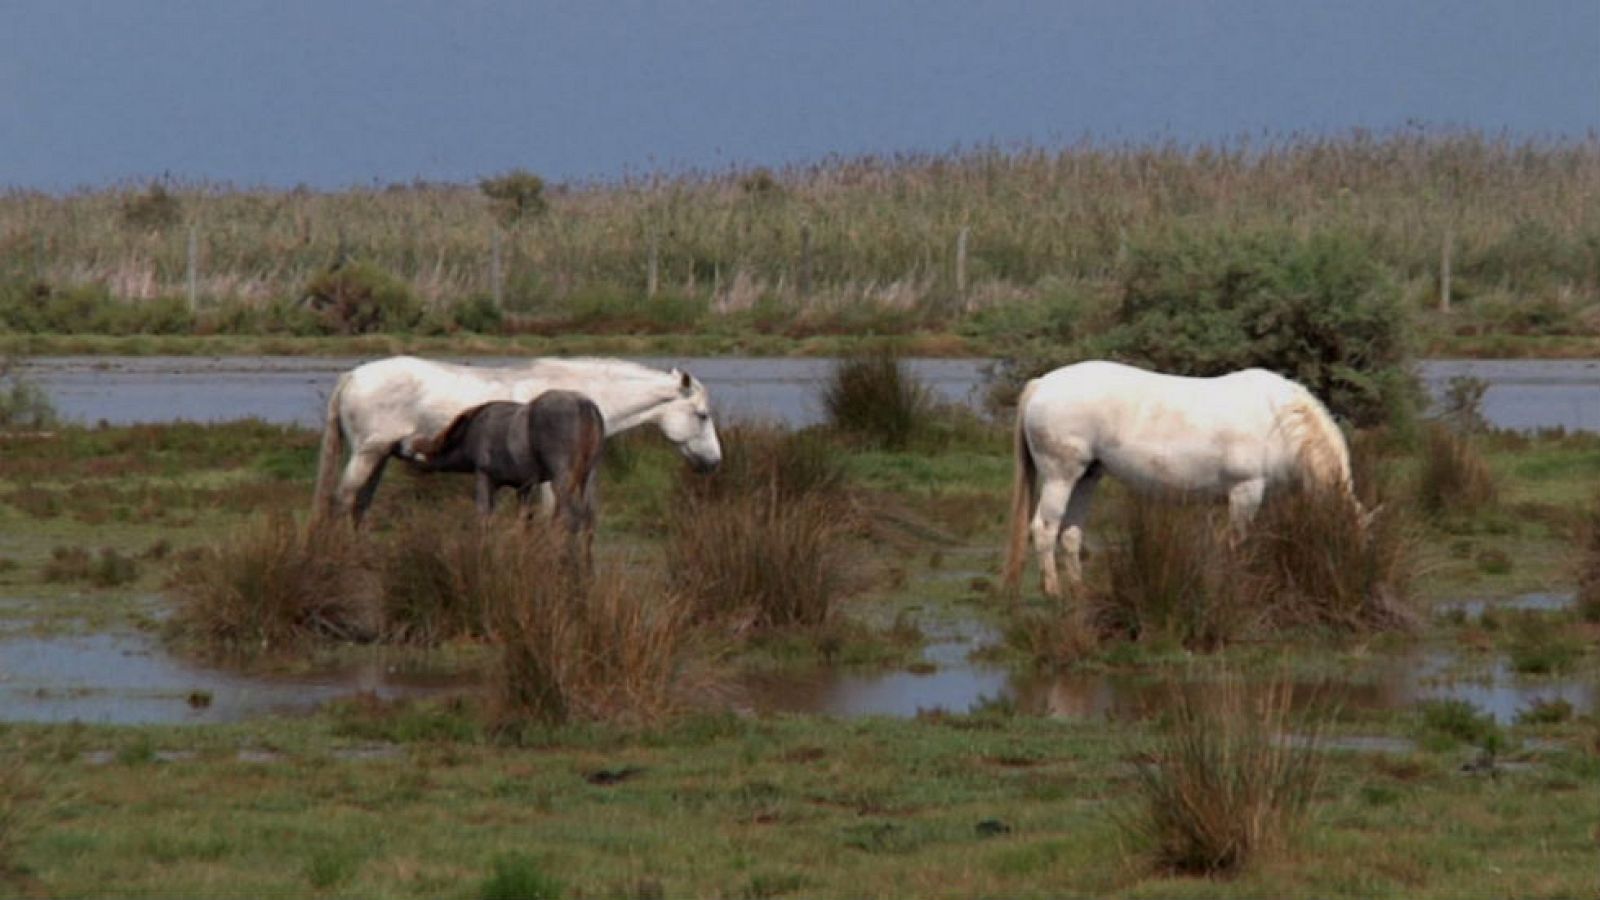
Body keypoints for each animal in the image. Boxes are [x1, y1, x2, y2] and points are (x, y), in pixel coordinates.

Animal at [312, 355, 721, 526]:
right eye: (702, 415)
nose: (714, 462)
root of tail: (352, 376)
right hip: (367, 455)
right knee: (342, 500)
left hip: (378, 457)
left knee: (359, 505)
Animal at [398, 390, 605, 569]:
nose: (400, 449)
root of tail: (585, 404)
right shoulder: (524, 487)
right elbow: (523, 523)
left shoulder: (485, 478)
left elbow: (484, 518)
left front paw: (484, 558)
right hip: (589, 476)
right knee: (588, 519)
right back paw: (587, 568)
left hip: (562, 480)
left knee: (568, 518)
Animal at [1001, 360, 1363, 599]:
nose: (1354, 585)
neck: (1279, 419)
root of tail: (1042, 384)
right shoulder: (1245, 491)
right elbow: (1239, 541)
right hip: (1060, 476)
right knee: (1044, 530)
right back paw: (1054, 591)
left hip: (1086, 477)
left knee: (1071, 533)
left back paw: (1078, 590)